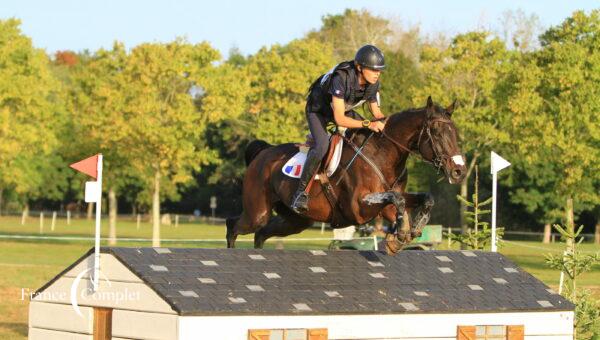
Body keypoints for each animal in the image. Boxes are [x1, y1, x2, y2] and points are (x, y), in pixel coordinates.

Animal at [227, 97, 466, 254]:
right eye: (437, 133)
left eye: (455, 133)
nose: (459, 171)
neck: (383, 154)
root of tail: (263, 153)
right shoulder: (359, 207)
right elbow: (396, 200)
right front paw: (401, 234)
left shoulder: (386, 203)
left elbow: (423, 199)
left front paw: (409, 231)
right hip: (258, 211)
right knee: (234, 226)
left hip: (296, 220)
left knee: (261, 233)